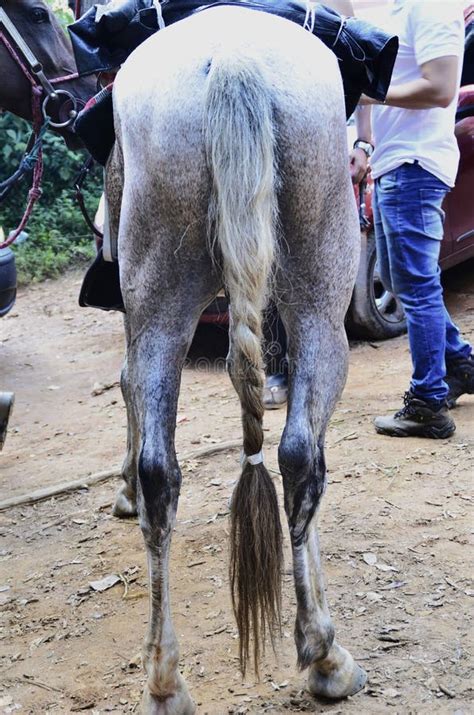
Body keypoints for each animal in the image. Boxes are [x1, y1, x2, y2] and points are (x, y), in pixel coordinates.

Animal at [107, 4, 364, 712]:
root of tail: (233, 57)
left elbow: (130, 388)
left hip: (160, 294)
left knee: (162, 470)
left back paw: (165, 681)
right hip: (320, 295)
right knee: (302, 454)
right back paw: (325, 654)